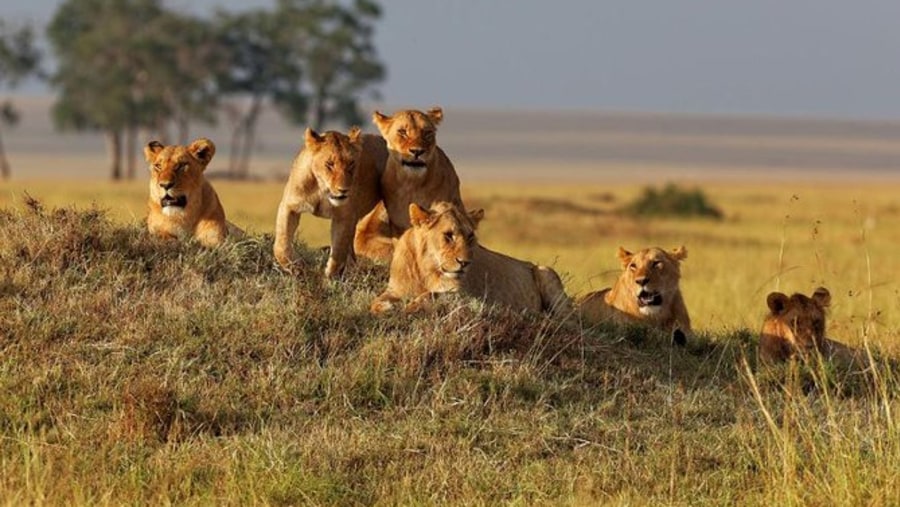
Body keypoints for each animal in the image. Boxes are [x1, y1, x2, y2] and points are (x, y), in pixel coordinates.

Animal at [272, 127, 388, 278]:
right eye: (329, 164)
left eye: (351, 164)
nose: (344, 190)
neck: (322, 190)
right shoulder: (289, 205)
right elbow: (281, 243)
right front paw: (295, 267)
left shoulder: (344, 216)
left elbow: (338, 249)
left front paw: (330, 275)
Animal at [370, 201, 572, 318]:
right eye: (448, 235)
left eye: (470, 236)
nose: (465, 263)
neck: (426, 269)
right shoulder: (395, 289)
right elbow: (377, 301)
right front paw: (386, 308)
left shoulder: (465, 296)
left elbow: (431, 295)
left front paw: (410, 307)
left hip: (546, 272)